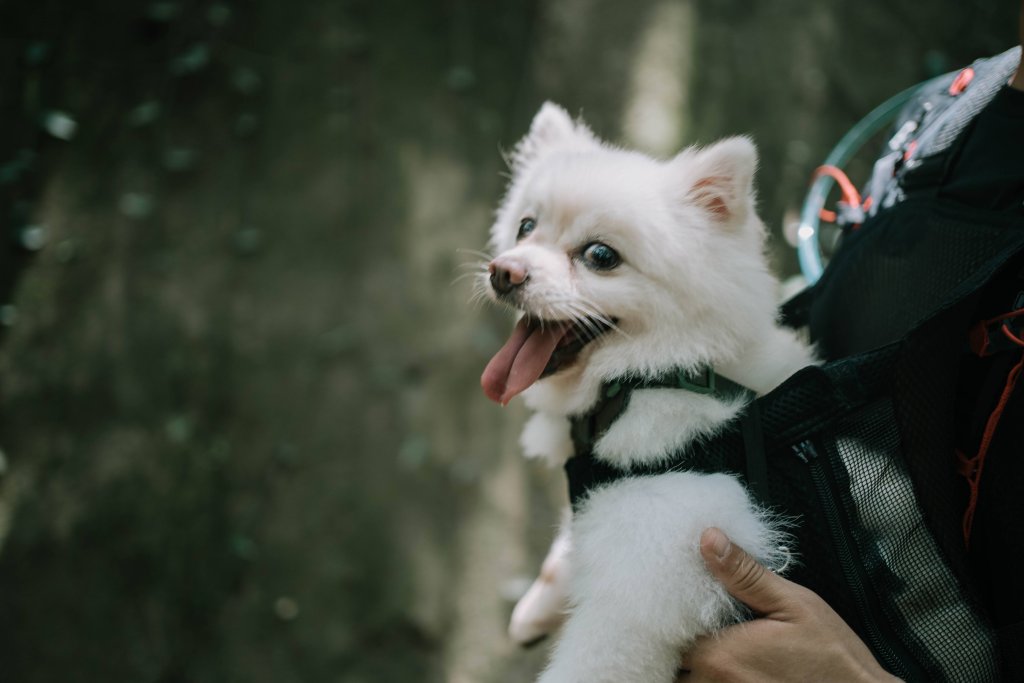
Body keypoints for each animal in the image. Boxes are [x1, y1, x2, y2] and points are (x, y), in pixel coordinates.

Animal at [479, 102, 815, 683]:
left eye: (600, 255)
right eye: (525, 226)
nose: (505, 271)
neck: (651, 374)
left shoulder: (644, 585)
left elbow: (592, 660)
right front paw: (538, 607)